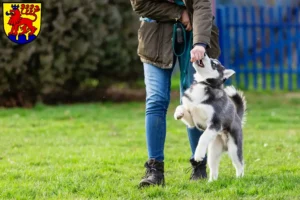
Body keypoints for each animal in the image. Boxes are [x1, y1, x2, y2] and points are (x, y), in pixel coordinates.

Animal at [173, 54, 246, 182]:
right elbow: (181, 107)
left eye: (214, 64)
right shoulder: (192, 121)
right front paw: (179, 113)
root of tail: (237, 116)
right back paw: (212, 181)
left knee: (240, 164)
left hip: (234, 148)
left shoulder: (215, 123)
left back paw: (239, 178)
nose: (203, 53)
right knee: (214, 168)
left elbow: (202, 138)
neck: (203, 84)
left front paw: (198, 155)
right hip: (213, 152)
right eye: (212, 60)